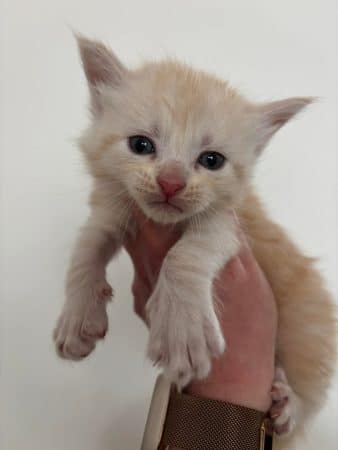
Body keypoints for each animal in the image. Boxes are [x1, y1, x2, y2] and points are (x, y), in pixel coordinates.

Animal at [52, 35, 336, 446]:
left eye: (212, 160)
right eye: (141, 145)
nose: (171, 182)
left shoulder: (231, 222)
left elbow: (189, 251)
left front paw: (181, 329)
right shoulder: (112, 207)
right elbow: (87, 246)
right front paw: (76, 317)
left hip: (310, 323)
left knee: (309, 392)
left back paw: (289, 404)